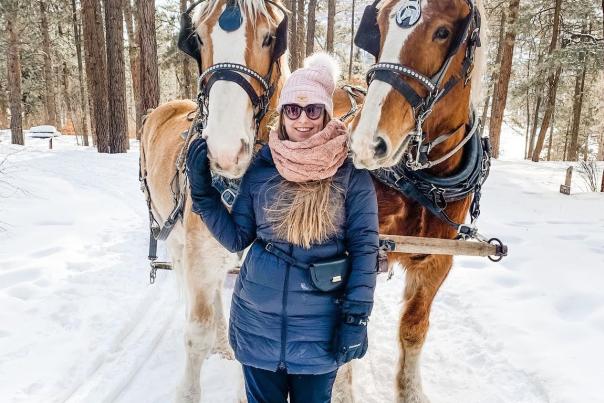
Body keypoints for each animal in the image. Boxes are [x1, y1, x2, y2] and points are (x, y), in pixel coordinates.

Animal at [350, 0, 486, 402]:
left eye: (443, 32)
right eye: (378, 26)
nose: (366, 143)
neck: (425, 184)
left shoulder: (437, 260)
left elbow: (414, 328)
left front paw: (410, 391)